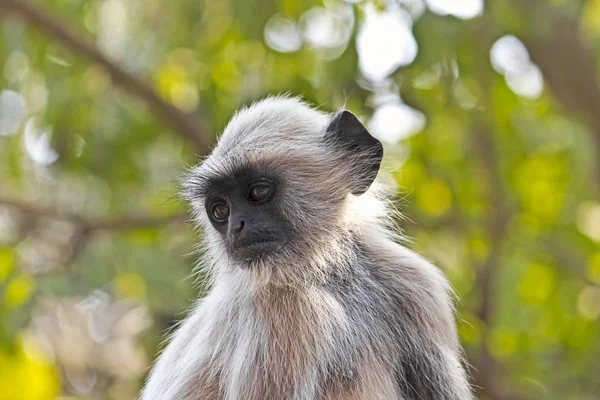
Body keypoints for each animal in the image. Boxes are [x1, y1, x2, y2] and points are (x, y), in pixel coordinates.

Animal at [141, 97, 474, 400]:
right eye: (220, 210)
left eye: (258, 192)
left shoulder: (416, 285)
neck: (327, 275)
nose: (236, 226)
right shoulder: (285, 309)